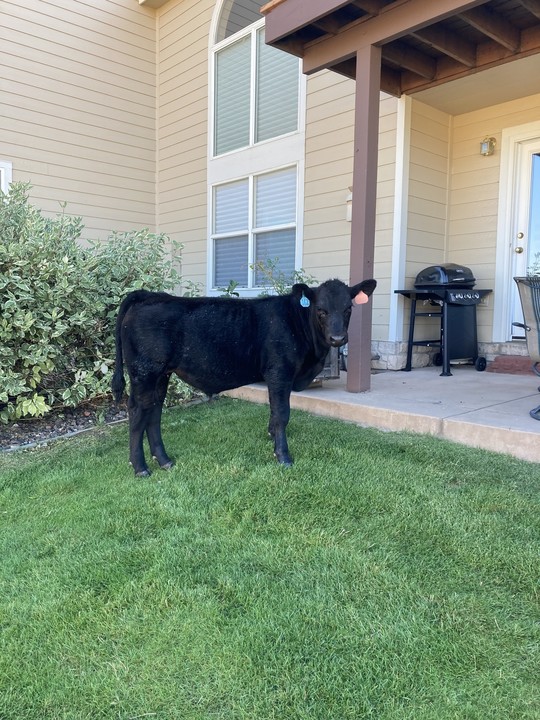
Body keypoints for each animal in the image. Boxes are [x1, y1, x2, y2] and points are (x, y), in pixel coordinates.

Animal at [112, 278, 376, 476]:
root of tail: (150, 295)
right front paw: (283, 456)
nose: (338, 338)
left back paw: (164, 460)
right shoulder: (279, 371)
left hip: (161, 375)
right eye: (320, 310)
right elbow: (282, 414)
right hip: (144, 372)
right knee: (137, 412)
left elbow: (274, 414)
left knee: (154, 411)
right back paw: (140, 467)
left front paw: (272, 439)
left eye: (348, 309)